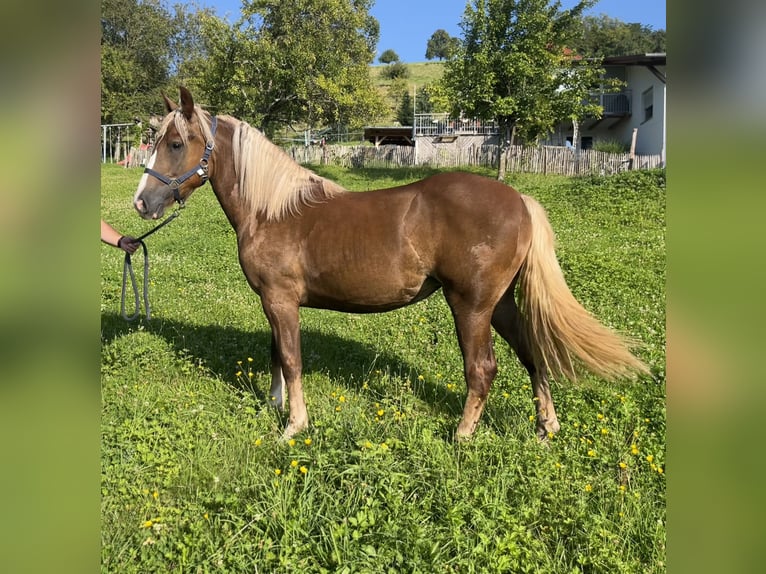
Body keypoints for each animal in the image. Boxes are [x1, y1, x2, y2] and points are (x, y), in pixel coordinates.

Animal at [133, 87, 649, 441]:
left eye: (176, 143)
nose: (142, 202)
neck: (273, 210)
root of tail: (518, 199)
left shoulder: (281, 301)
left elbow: (292, 359)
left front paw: (294, 426)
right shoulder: (271, 304)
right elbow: (276, 354)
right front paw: (278, 407)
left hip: (471, 306)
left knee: (482, 369)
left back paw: (462, 435)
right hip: (500, 304)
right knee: (531, 354)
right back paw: (546, 428)